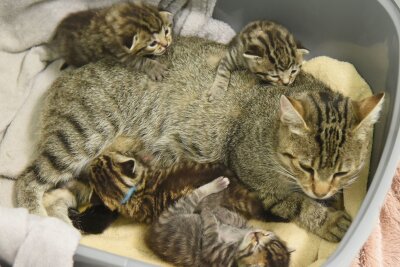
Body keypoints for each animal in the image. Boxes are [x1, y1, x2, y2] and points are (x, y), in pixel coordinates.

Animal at [16, 36, 384, 244]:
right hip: (82, 133)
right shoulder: (258, 177)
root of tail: (66, 75)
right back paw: (37, 219)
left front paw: (333, 201)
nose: (320, 190)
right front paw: (327, 219)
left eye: (342, 172)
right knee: (27, 181)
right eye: (306, 167)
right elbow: (294, 203)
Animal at [147, 178, 290, 267]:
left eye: (256, 245)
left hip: (177, 209)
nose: (256, 234)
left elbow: (211, 227)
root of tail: (151, 234)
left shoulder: (213, 250)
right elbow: (234, 218)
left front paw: (208, 213)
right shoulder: (245, 225)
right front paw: (217, 212)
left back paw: (214, 189)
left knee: (196, 194)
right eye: (266, 235)